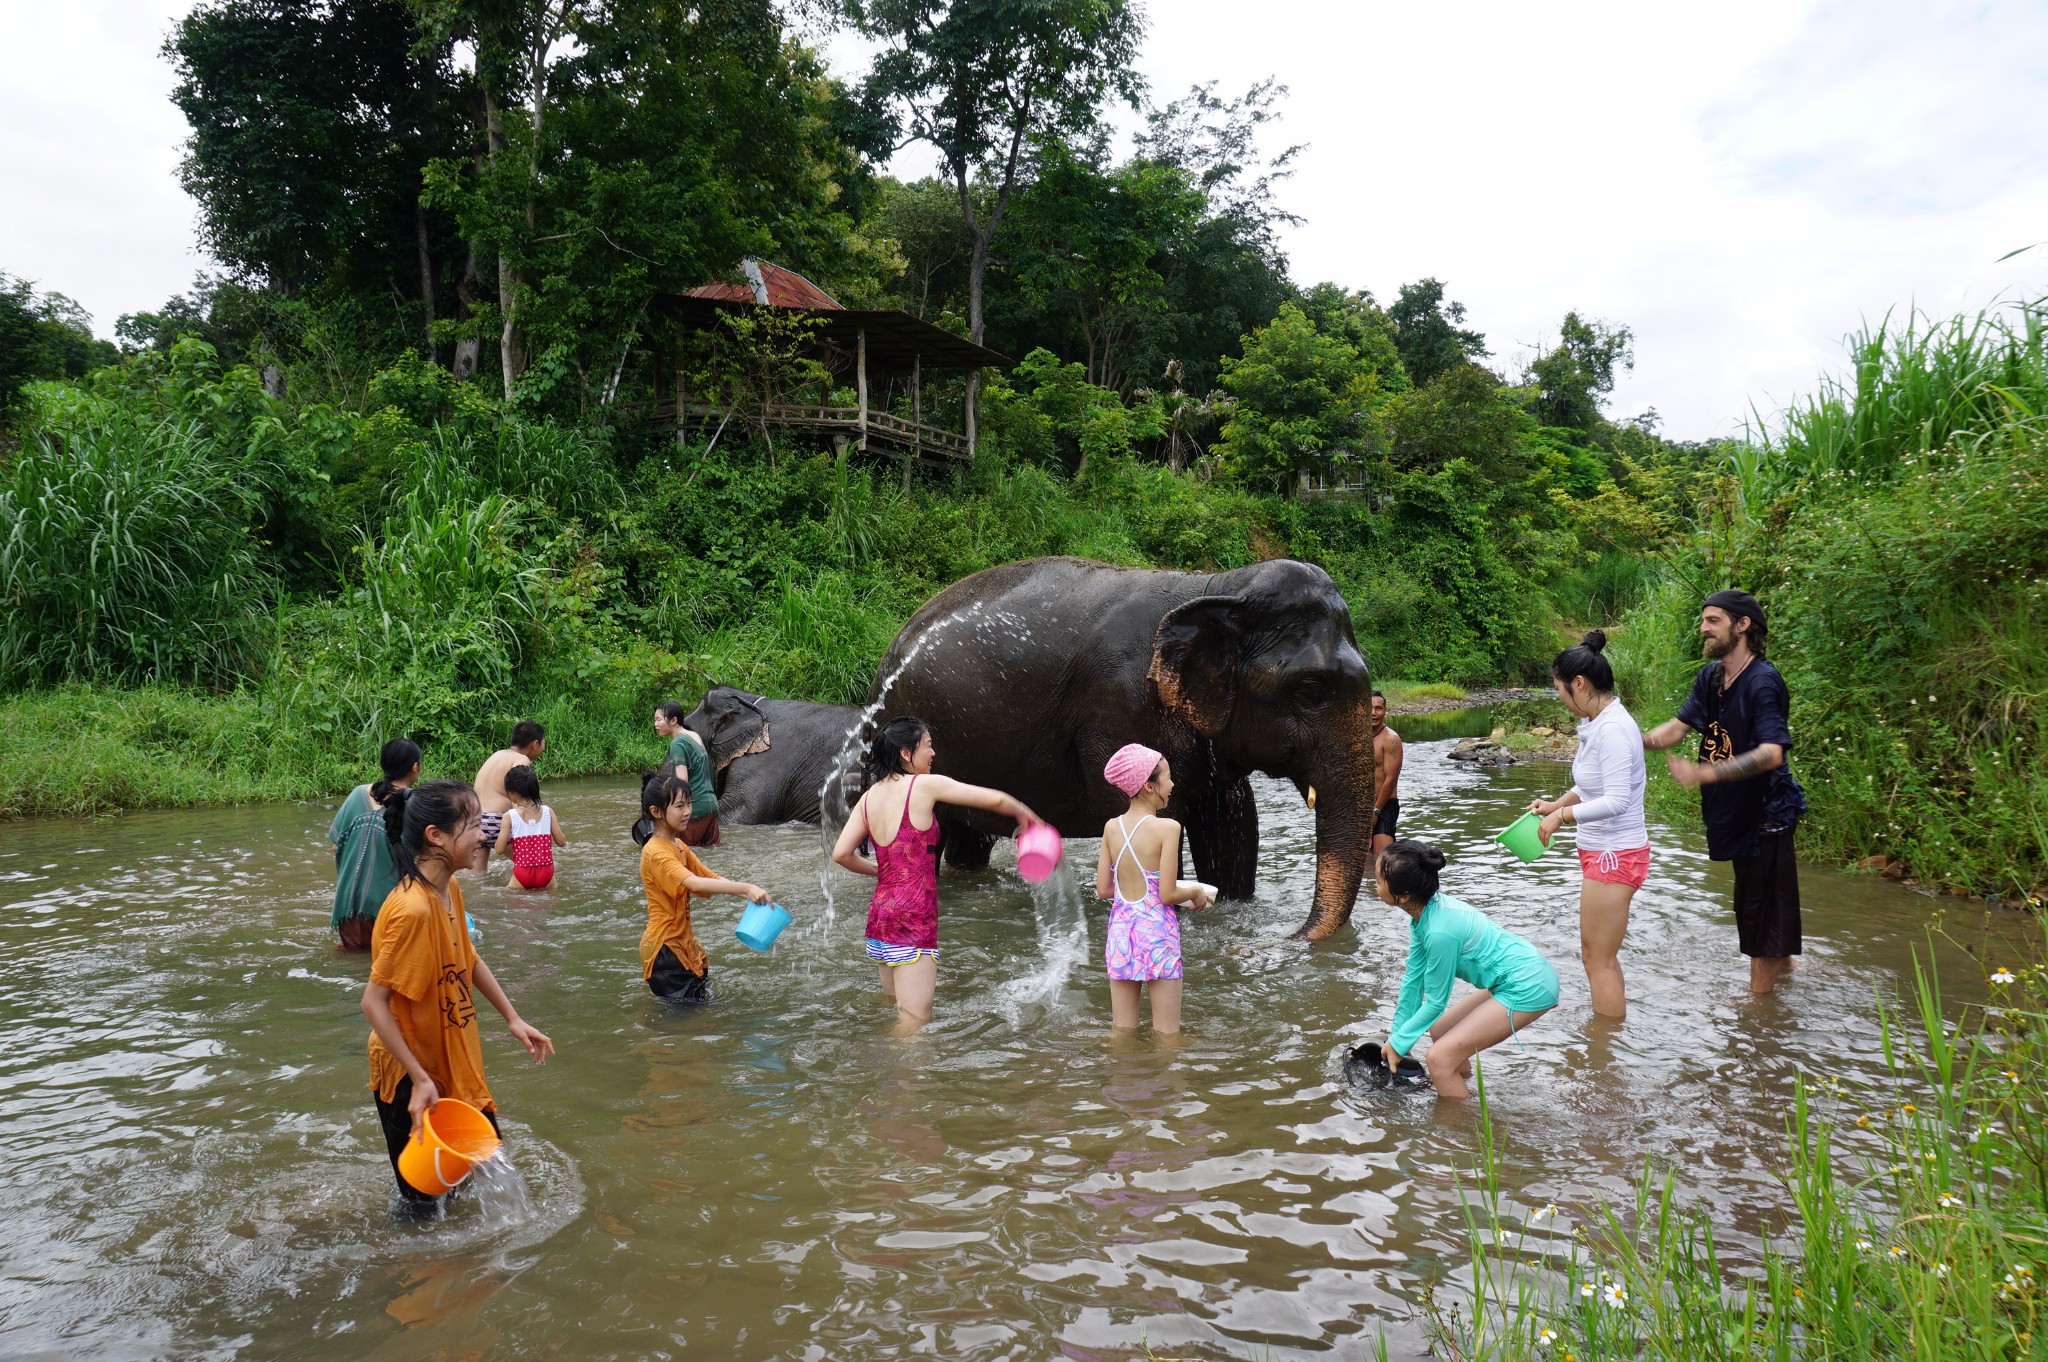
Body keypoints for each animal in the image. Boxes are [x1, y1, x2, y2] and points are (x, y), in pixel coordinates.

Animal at [847, 552, 1376, 933]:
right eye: (1311, 692)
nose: (1295, 937)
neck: (1216, 586)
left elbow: (1233, 824)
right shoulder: (1120, 710)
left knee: (967, 838)